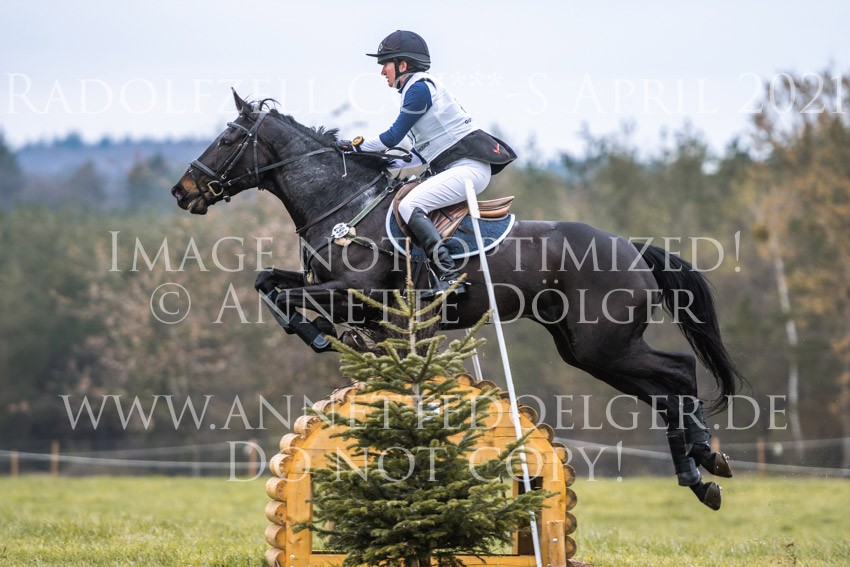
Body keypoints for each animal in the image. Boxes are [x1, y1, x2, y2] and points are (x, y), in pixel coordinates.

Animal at [171, 91, 743, 510]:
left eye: (227, 138)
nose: (183, 192)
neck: (344, 206)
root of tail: (630, 246)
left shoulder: (358, 293)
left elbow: (286, 295)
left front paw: (320, 334)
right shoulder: (341, 294)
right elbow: (267, 280)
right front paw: (331, 334)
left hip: (605, 343)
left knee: (679, 372)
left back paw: (703, 462)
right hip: (588, 350)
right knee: (665, 390)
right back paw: (702, 472)